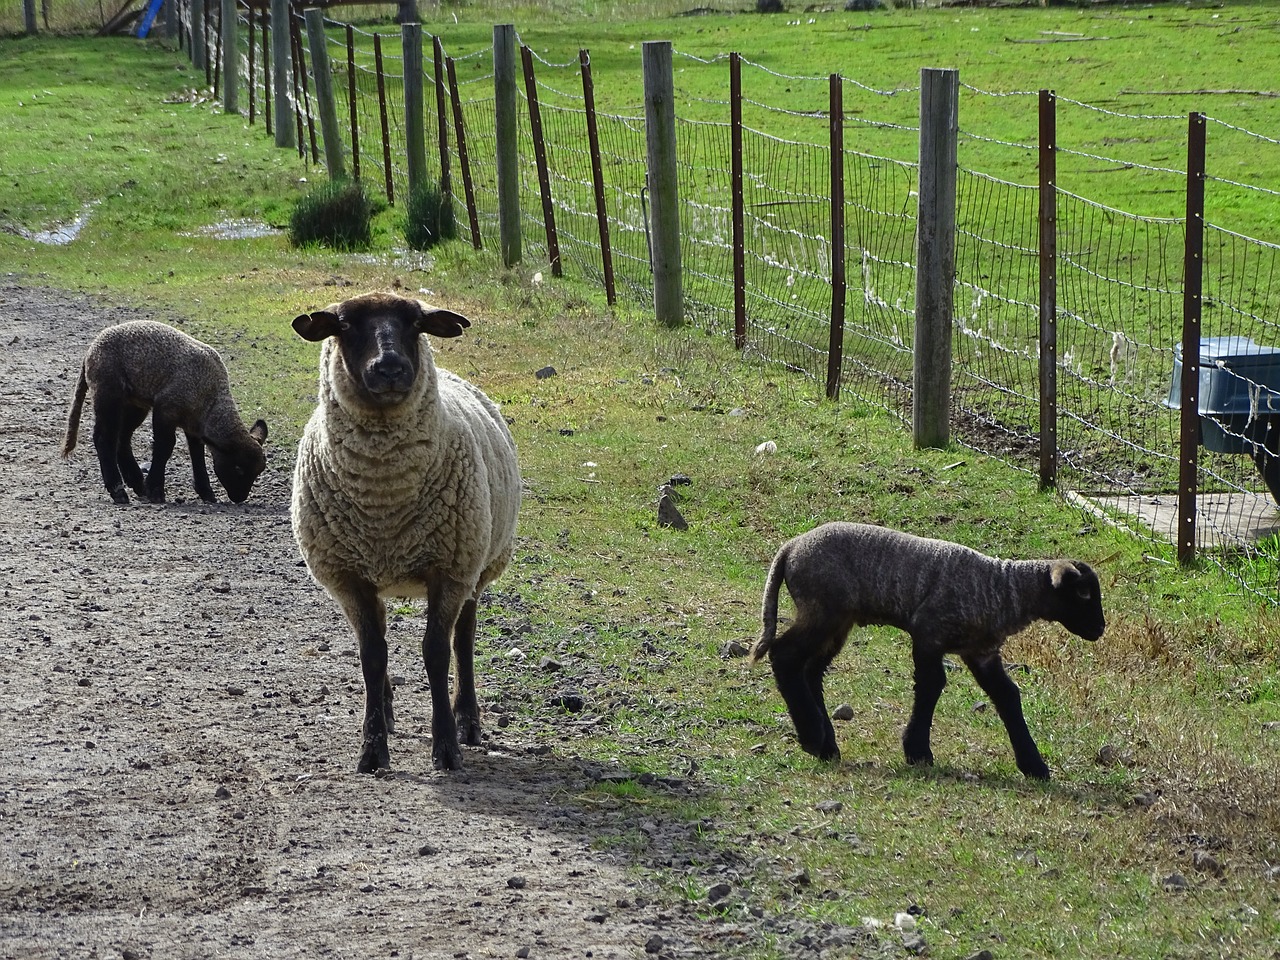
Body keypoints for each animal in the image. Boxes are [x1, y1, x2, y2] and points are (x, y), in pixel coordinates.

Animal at [63, 320, 268, 506]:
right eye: (238, 468)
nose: (239, 498)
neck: (211, 399)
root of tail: (90, 352)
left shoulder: (193, 424)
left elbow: (197, 453)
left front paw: (206, 493)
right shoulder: (166, 409)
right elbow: (165, 447)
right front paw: (156, 491)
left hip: (134, 402)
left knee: (123, 437)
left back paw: (137, 483)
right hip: (107, 389)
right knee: (105, 439)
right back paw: (118, 491)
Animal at [290, 291, 519, 773]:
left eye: (415, 324)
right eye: (345, 325)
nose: (391, 367)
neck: (385, 500)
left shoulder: (450, 571)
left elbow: (436, 652)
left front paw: (446, 747)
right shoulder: (348, 578)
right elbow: (372, 656)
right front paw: (372, 748)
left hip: (478, 563)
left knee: (464, 638)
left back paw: (467, 720)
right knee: (380, 639)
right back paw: (388, 711)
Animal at [752, 527, 1105, 783]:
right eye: (1083, 593)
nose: (1100, 628)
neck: (1002, 591)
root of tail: (790, 548)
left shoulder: (981, 652)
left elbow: (1007, 696)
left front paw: (1034, 766)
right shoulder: (929, 632)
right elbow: (931, 685)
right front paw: (918, 751)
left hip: (837, 619)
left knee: (811, 670)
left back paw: (827, 745)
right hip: (823, 609)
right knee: (785, 656)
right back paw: (813, 737)